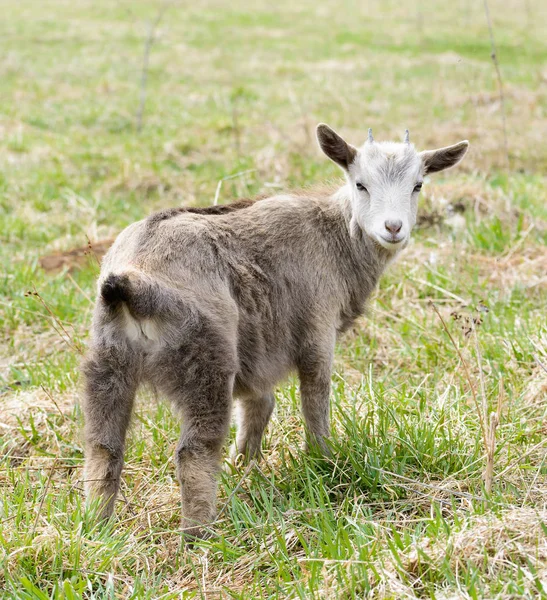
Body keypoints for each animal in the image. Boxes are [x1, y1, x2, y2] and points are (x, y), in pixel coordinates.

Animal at [83, 124, 468, 536]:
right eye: (360, 184)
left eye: (418, 185)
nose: (393, 228)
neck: (335, 236)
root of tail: (134, 279)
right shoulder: (317, 325)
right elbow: (315, 396)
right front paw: (323, 460)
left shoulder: (257, 351)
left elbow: (259, 404)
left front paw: (244, 469)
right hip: (205, 360)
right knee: (194, 452)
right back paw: (197, 536)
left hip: (107, 361)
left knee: (103, 448)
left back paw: (96, 530)